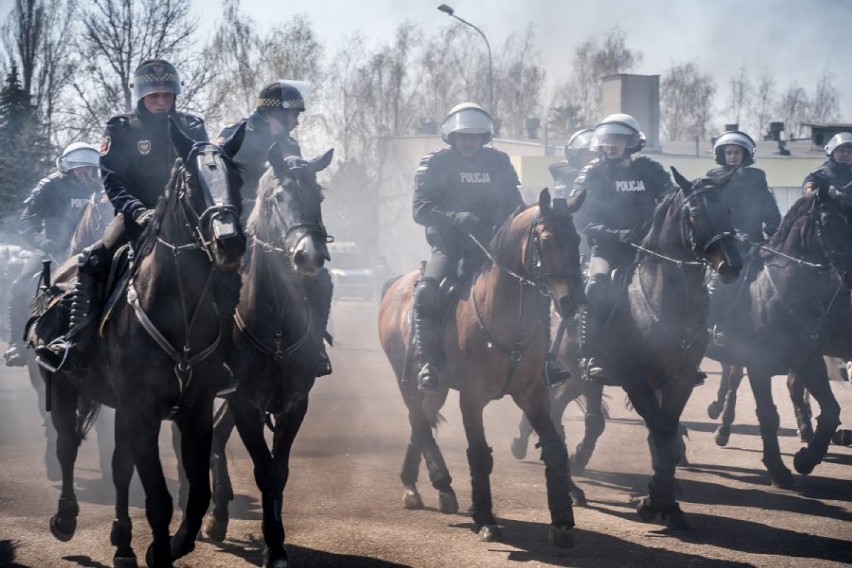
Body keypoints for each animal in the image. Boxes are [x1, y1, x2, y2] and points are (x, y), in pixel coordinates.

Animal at [29, 121, 246, 568]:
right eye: (191, 181)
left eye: (237, 177)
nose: (230, 242)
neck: (175, 308)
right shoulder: (142, 409)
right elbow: (159, 499)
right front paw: (160, 550)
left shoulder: (194, 409)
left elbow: (196, 493)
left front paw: (176, 543)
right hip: (63, 387)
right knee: (66, 446)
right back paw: (66, 518)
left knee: (119, 467)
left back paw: (122, 542)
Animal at [201, 148, 332, 568]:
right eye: (278, 197)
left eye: (318, 197)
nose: (309, 256)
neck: (274, 323)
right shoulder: (247, 403)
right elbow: (264, 470)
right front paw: (272, 544)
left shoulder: (294, 403)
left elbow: (280, 469)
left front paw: (276, 542)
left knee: (216, 434)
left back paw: (218, 515)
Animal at [380, 191, 584, 552]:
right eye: (546, 240)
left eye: (576, 239)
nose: (572, 300)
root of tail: (395, 286)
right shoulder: (472, 398)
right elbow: (479, 456)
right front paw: (486, 519)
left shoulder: (533, 395)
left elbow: (555, 449)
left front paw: (562, 522)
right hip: (409, 381)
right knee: (418, 419)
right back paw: (439, 482)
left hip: (437, 388)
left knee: (422, 421)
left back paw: (417, 485)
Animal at [704, 184, 852, 486]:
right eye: (830, 223)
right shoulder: (759, 364)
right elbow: (768, 414)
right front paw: (778, 469)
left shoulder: (808, 359)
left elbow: (831, 411)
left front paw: (806, 458)